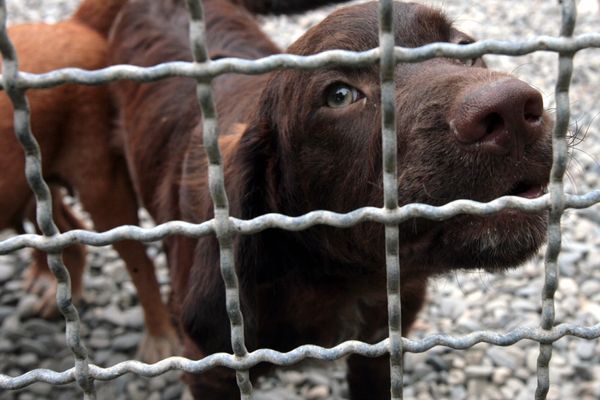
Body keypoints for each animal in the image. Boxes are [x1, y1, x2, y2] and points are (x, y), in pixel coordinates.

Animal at [0, 0, 178, 362]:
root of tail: (72, 25)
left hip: (101, 185)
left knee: (139, 262)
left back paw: (160, 338)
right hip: (34, 179)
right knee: (62, 229)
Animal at [109, 0, 552, 396]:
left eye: (464, 48)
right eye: (339, 95)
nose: (511, 109)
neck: (336, 280)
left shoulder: (378, 346)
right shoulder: (212, 367)